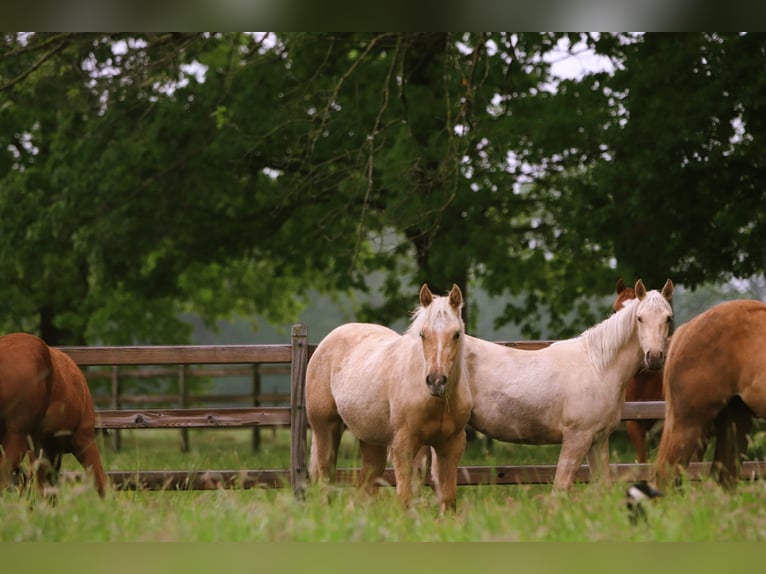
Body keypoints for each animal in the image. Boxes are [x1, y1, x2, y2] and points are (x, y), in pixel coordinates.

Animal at [306, 284, 472, 512]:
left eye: (456, 334)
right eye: (423, 334)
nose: (436, 381)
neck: (433, 401)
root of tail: (325, 343)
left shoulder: (451, 445)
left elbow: (448, 498)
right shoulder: (403, 445)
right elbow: (405, 497)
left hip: (371, 440)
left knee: (367, 483)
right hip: (325, 428)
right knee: (325, 476)